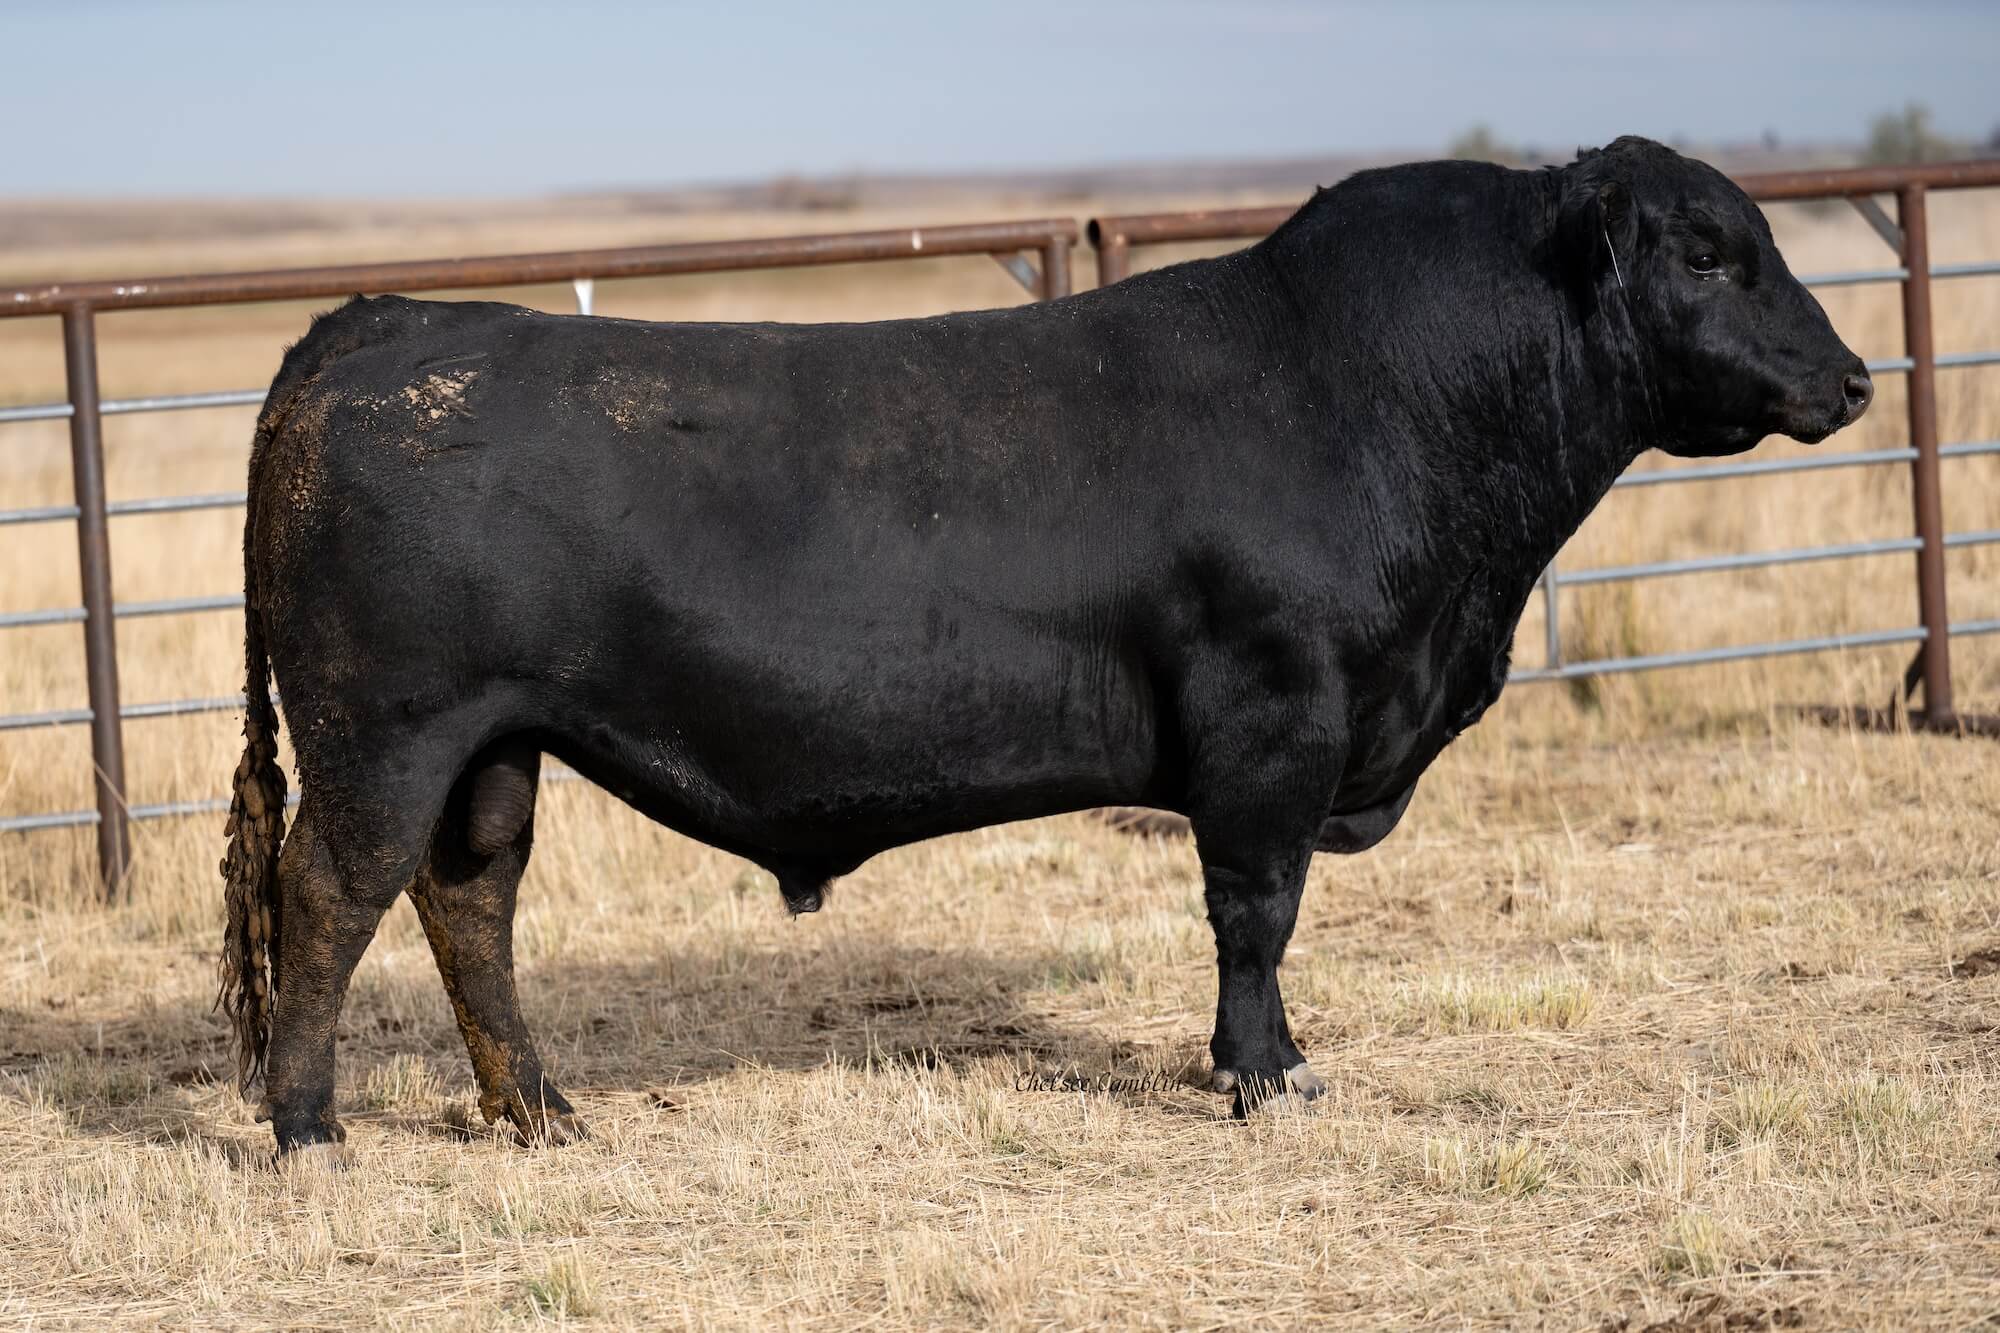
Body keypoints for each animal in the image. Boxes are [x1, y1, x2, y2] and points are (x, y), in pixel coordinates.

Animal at [219, 136, 1871, 1159]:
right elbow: (1255, 913)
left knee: (467, 903)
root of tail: (378, 324)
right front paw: (1267, 1074)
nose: (1853, 376)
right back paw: (308, 1128)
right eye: (1711, 255)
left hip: (492, 746)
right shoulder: (1274, 721)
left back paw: (542, 1111)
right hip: (387, 732)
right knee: (331, 894)